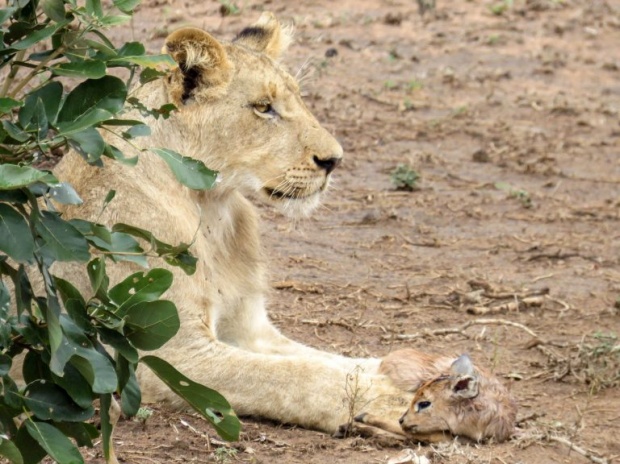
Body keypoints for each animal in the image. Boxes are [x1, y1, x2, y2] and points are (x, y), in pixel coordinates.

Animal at [52, 11, 412, 432]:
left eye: (299, 98)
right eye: (264, 107)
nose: (334, 160)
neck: (212, 209)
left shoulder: (248, 328)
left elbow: (329, 359)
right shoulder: (164, 354)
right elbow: (296, 375)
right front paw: (394, 399)